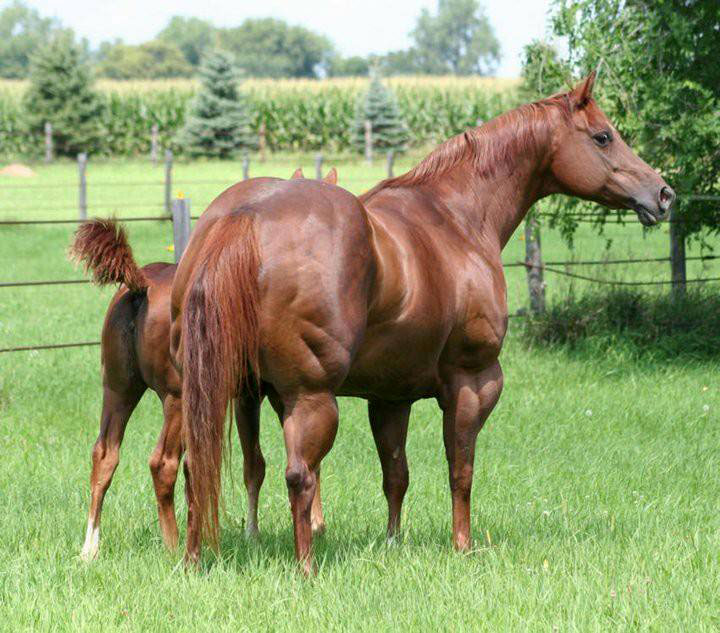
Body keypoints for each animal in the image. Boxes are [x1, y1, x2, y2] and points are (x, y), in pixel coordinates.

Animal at [71, 167, 338, 556]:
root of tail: (141, 285)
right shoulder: (263, 395)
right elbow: (267, 462)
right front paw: (286, 528)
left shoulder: (252, 396)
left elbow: (260, 462)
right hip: (178, 399)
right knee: (163, 463)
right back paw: (173, 545)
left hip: (118, 389)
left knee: (104, 454)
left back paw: (90, 548)